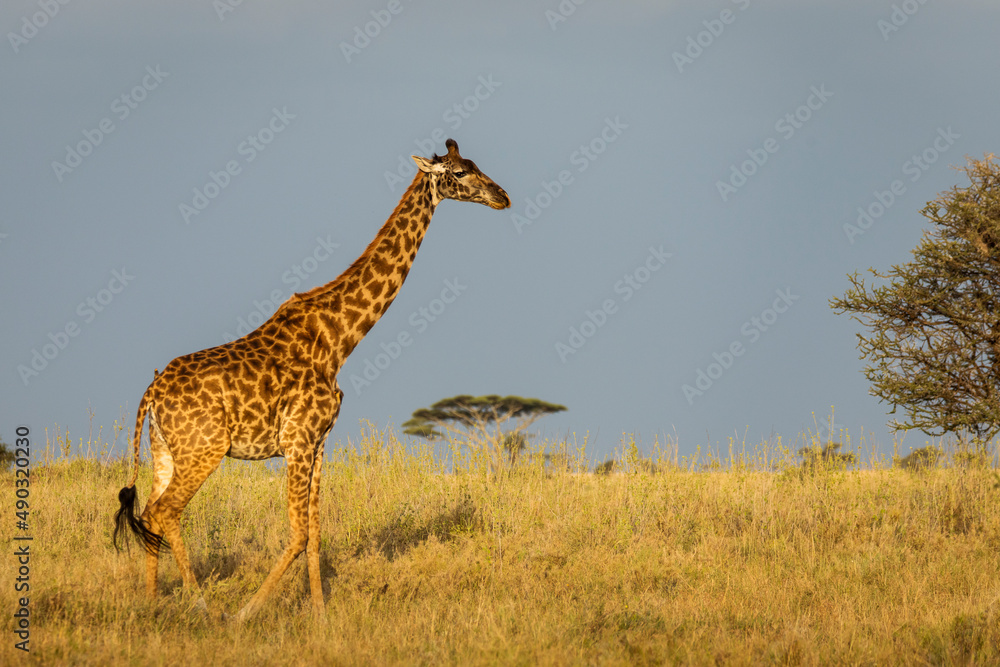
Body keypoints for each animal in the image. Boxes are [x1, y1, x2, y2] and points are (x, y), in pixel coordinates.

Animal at [113, 139, 510, 622]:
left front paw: (320, 616)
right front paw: (248, 613)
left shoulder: (319, 443)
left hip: (165, 450)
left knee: (150, 512)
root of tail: (151, 392)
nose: (503, 197)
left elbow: (316, 535)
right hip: (205, 448)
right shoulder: (298, 440)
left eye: (475, 165)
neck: (339, 338)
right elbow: (300, 534)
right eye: (459, 172)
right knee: (167, 511)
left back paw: (153, 604)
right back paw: (203, 606)